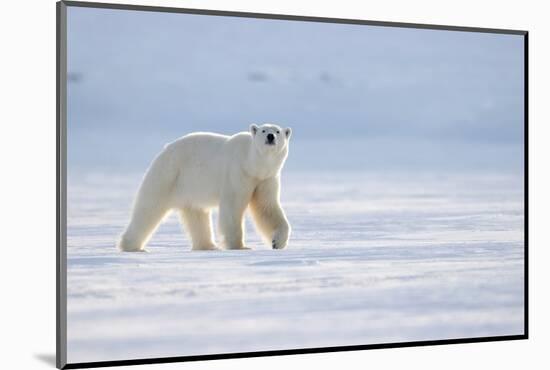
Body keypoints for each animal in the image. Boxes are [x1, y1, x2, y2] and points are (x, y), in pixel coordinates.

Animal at [117, 123, 294, 251]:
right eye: (264, 130)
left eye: (278, 131)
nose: (270, 136)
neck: (252, 164)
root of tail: (164, 151)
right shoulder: (237, 172)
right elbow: (232, 207)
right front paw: (240, 246)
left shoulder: (265, 179)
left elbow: (267, 208)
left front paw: (277, 242)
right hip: (168, 175)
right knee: (148, 209)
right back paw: (132, 247)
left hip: (189, 188)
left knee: (197, 215)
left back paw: (208, 246)